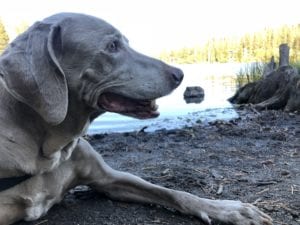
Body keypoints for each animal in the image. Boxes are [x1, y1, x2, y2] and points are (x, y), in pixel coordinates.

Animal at [0, 12, 272, 225]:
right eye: (112, 46)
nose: (179, 74)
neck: (49, 150)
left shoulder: (109, 179)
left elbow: (175, 193)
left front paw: (230, 210)